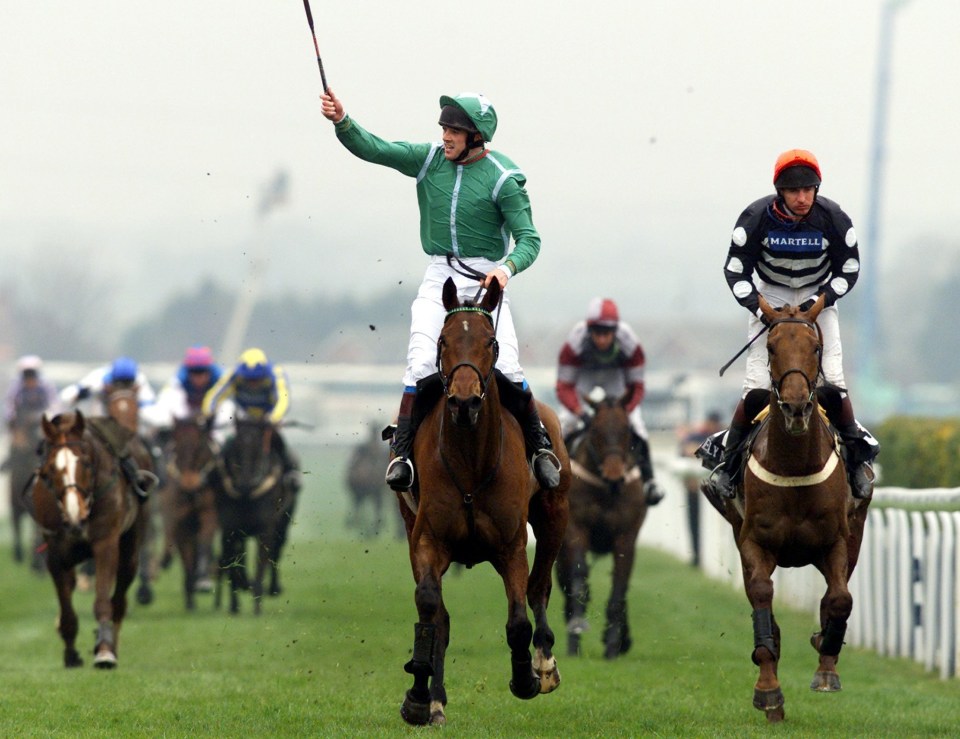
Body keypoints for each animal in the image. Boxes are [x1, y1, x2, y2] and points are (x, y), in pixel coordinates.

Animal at [30, 410, 148, 672]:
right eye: (51, 468)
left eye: (85, 462)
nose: (76, 514)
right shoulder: (56, 550)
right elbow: (66, 605)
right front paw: (71, 653)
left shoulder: (106, 541)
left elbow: (104, 599)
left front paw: (104, 650)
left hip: (132, 542)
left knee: (120, 595)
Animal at [396, 278, 568, 728]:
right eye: (442, 341)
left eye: (490, 342)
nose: (464, 401)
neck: (471, 461)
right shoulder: (427, 540)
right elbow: (430, 610)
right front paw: (420, 698)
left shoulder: (511, 545)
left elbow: (518, 620)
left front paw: (525, 679)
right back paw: (436, 700)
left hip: (554, 516)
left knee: (539, 587)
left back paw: (544, 665)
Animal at [560, 394, 648, 660]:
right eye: (596, 430)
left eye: (626, 430)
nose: (614, 475)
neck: (606, 489)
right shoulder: (576, 531)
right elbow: (578, 579)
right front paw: (575, 635)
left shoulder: (626, 537)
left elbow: (619, 587)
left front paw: (613, 644)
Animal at [700, 294, 872, 724]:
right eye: (771, 347)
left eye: (815, 348)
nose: (795, 407)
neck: (794, 464)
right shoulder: (753, 543)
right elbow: (762, 599)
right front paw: (768, 690)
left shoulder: (836, 542)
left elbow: (840, 600)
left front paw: (826, 665)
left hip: (856, 532)